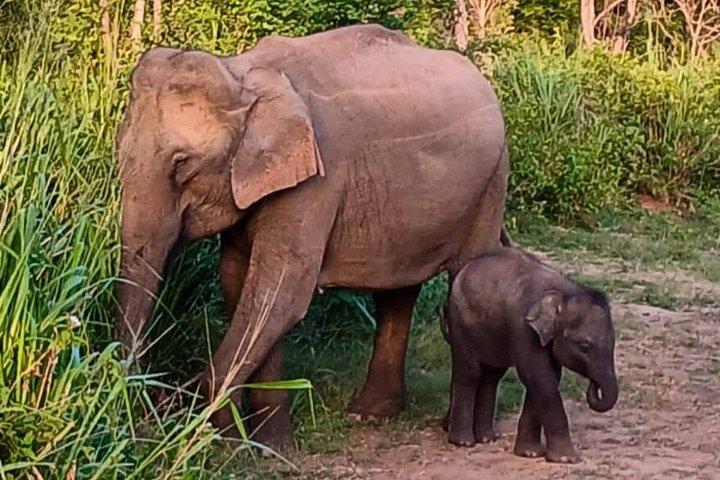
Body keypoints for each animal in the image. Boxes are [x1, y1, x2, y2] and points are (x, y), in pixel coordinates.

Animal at [115, 24, 509, 448]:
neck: (241, 72)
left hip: (492, 183)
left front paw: (224, 435)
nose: (143, 401)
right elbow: (242, 286)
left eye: (182, 164)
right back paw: (369, 414)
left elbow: (280, 293)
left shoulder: (316, 183)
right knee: (398, 292)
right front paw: (269, 446)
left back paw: (454, 429)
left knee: (464, 277)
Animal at [440, 247, 618, 463]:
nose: (593, 384)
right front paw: (567, 458)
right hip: (460, 322)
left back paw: (487, 438)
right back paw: (464, 442)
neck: (563, 291)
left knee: (491, 376)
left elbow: (547, 378)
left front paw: (530, 454)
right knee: (470, 372)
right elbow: (538, 376)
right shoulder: (523, 328)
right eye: (585, 346)